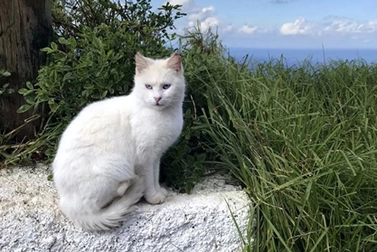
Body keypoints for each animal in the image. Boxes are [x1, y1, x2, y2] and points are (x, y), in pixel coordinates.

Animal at [52, 52, 185, 231]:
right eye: (148, 87)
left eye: (166, 86)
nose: (157, 98)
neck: (163, 115)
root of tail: (69, 208)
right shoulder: (145, 158)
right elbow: (149, 180)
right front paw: (153, 197)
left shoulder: (156, 155)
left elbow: (156, 176)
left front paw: (159, 191)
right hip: (116, 166)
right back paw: (127, 188)